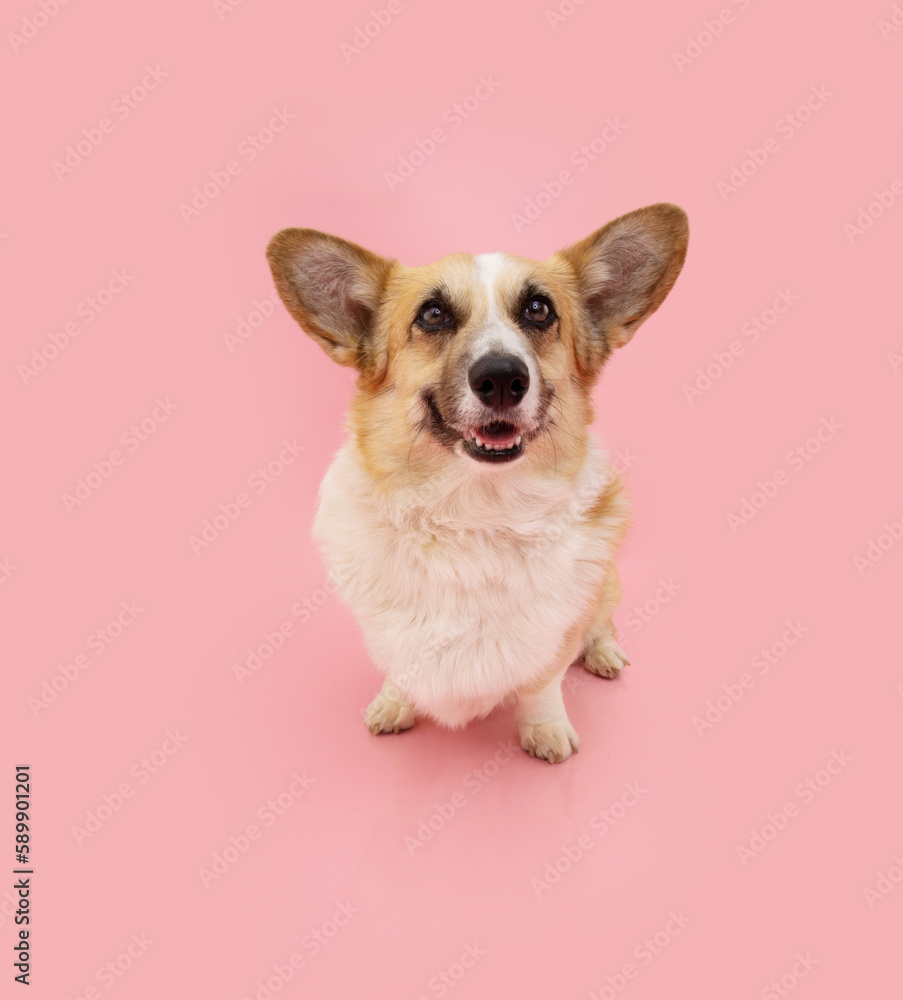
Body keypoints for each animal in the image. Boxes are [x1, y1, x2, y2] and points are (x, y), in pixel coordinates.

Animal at [264, 205, 688, 764]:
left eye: (538, 309)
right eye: (433, 315)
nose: (503, 378)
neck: (473, 512)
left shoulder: (557, 632)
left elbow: (542, 682)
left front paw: (545, 730)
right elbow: (400, 666)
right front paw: (394, 703)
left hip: (607, 581)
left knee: (601, 622)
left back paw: (605, 653)